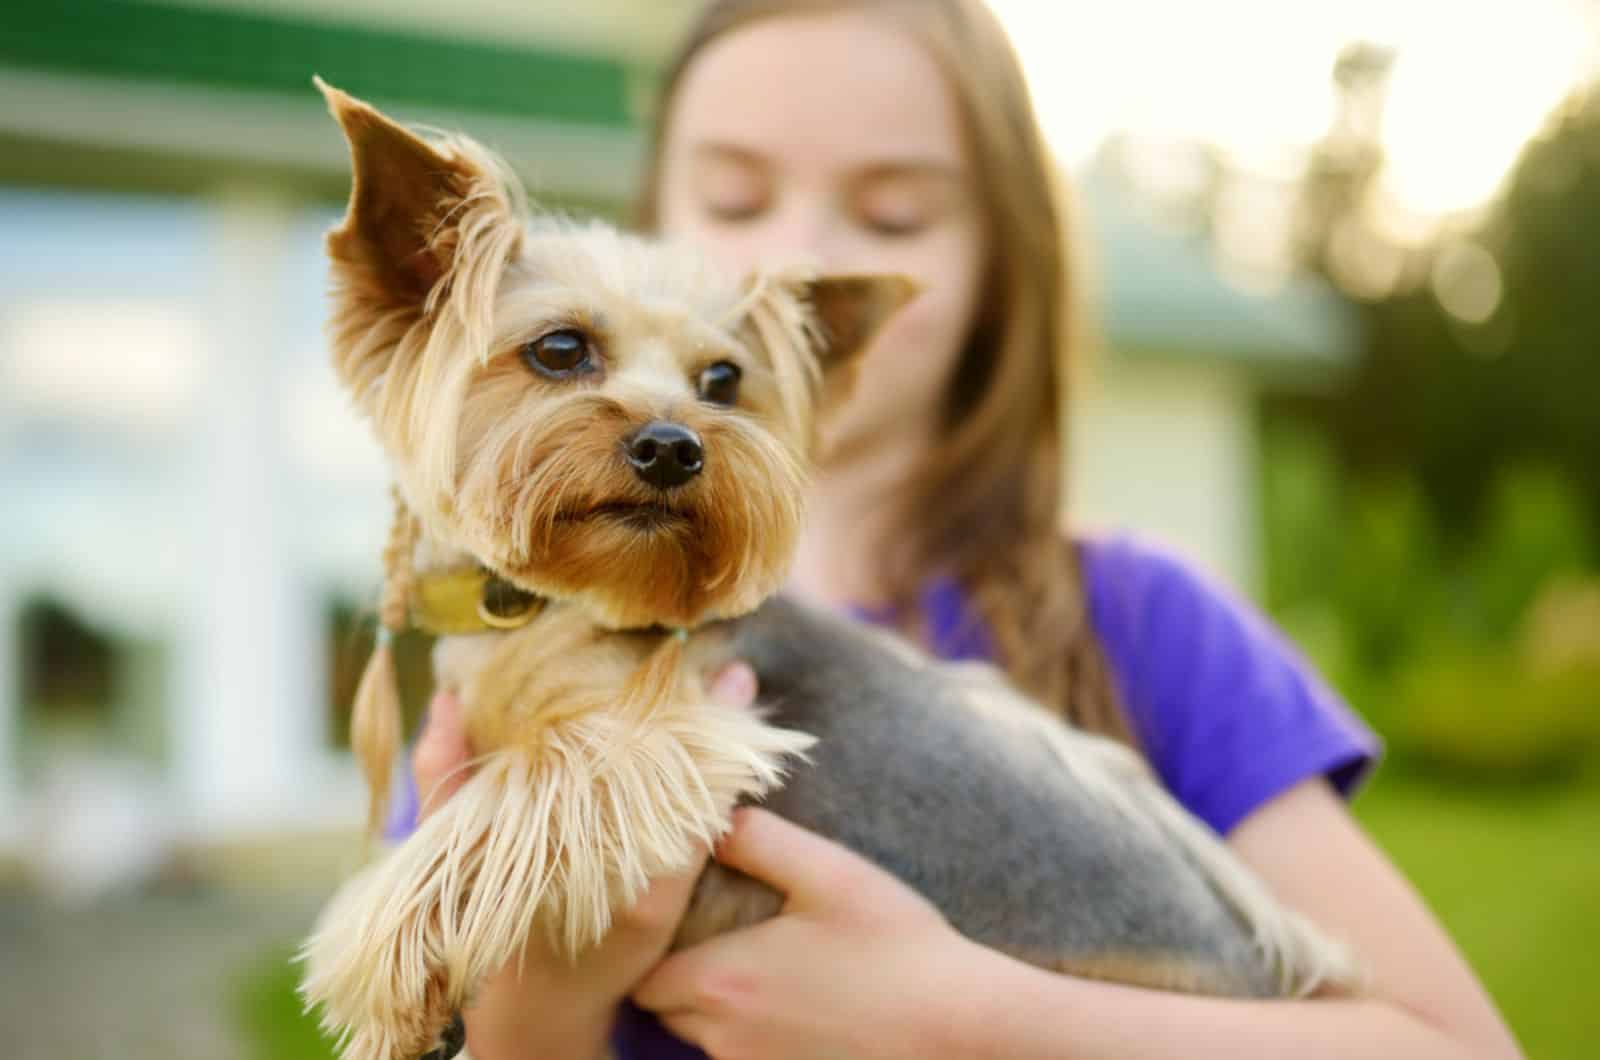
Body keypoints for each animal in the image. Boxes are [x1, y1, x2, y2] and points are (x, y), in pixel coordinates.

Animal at [302, 83, 1363, 1060]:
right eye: (559, 349)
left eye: (723, 380)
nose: (674, 446)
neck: (549, 603)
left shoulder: (674, 739)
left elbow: (516, 793)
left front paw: (383, 969)